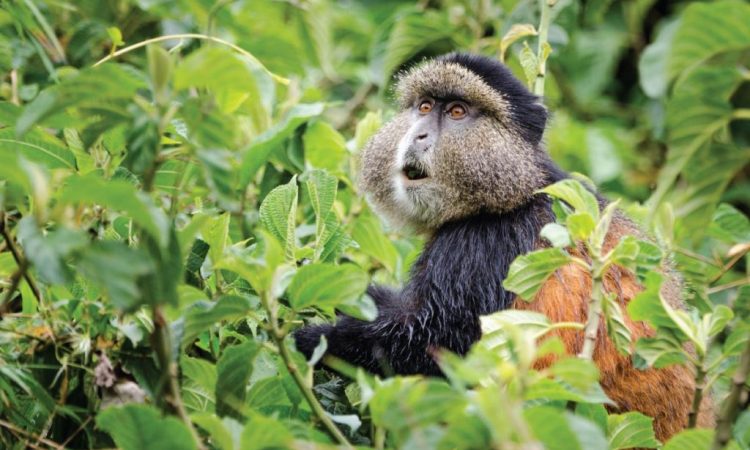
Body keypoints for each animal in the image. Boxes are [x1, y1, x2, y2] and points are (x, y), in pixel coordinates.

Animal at [293, 53, 712, 440]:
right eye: (425, 107)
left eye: (458, 112)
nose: (418, 135)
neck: (516, 189)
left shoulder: (485, 245)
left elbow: (432, 343)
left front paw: (309, 339)